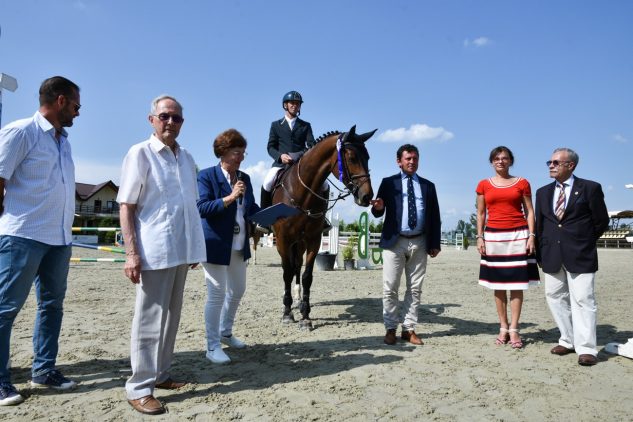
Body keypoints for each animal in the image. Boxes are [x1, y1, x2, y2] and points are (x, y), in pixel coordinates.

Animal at [270, 125, 376, 329]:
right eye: (352, 158)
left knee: (297, 266)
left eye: (368, 157)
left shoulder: (313, 239)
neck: (302, 193)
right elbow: (286, 273)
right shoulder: (283, 239)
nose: (367, 196)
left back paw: (297, 300)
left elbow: (307, 276)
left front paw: (305, 315)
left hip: (300, 242)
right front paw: (287, 314)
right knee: (289, 268)